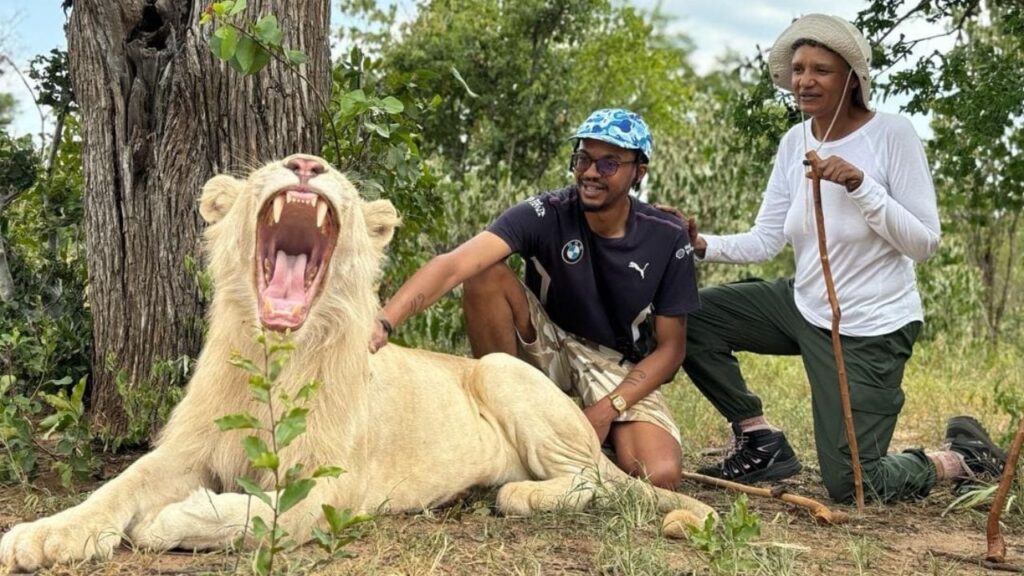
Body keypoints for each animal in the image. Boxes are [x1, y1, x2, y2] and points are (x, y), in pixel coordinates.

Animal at [0, 154, 714, 570]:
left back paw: (514, 493)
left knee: (592, 480)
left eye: (336, 179)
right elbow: (117, 486)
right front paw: (42, 536)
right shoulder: (187, 447)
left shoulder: (329, 490)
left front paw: (162, 522)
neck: (276, 361)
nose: (306, 163)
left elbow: (246, 515)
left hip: (504, 373)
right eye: (273, 164)